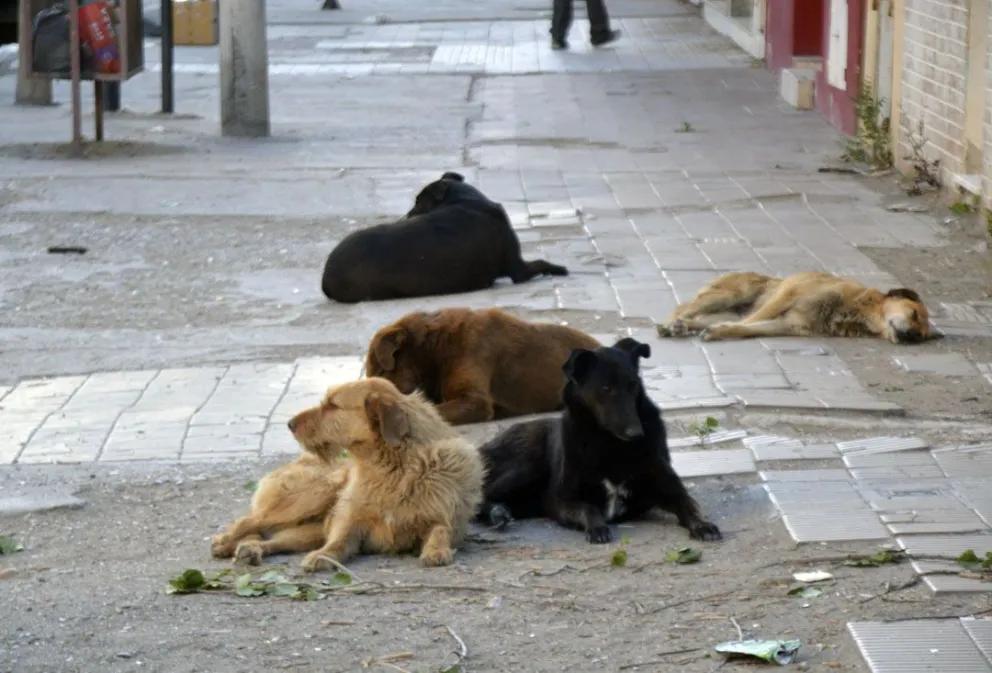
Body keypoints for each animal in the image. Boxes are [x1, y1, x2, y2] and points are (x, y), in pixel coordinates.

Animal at [211, 377, 485, 570]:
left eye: (332, 405)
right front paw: (324, 555)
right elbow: (338, 541)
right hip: (314, 494)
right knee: (250, 521)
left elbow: (440, 529)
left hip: (307, 531)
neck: (393, 468)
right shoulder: (349, 522)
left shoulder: (444, 519)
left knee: (272, 539)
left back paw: (251, 550)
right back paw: (225, 542)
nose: (289, 424)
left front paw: (436, 550)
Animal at [320, 172, 568, 303]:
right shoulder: (518, 267)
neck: (466, 200)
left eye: (419, 202)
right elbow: (540, 263)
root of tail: (325, 277)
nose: (404, 217)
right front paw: (558, 268)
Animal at [477, 337, 722, 544]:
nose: (636, 433)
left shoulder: (671, 490)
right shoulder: (560, 500)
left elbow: (690, 504)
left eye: (633, 385)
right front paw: (598, 527)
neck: (610, 444)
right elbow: (589, 508)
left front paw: (703, 525)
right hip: (527, 463)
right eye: (606, 388)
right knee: (480, 495)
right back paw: (497, 513)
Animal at [655, 271, 932, 344]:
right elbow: (748, 323)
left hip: (723, 308)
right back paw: (669, 325)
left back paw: (682, 327)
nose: (912, 336)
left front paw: (722, 331)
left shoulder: (788, 325)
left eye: (922, 337)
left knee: (697, 318)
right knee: (683, 309)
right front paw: (721, 330)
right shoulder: (787, 295)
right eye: (914, 314)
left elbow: (748, 328)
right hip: (727, 296)